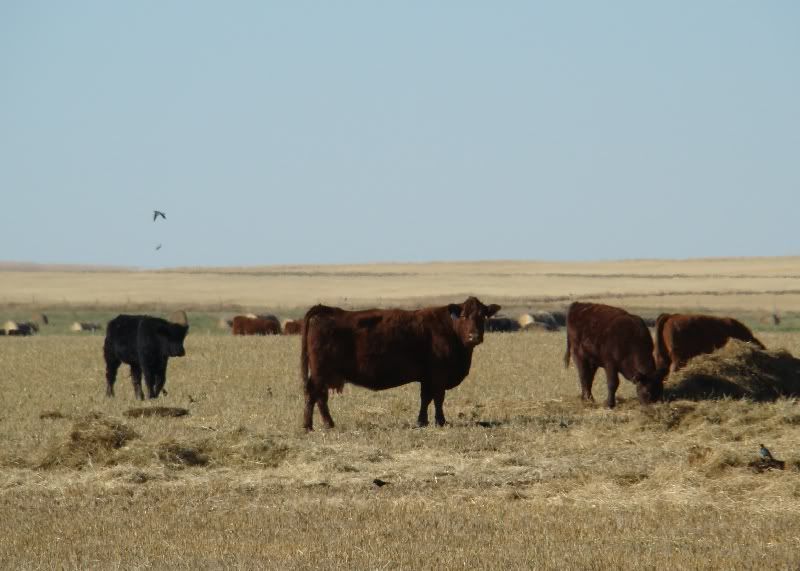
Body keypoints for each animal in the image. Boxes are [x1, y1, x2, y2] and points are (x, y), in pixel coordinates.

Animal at [300, 296, 500, 431]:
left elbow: (425, 398)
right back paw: (309, 426)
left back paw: (327, 424)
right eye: (464, 316)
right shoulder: (438, 376)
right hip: (320, 373)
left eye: (482, 316)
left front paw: (422, 421)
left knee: (320, 397)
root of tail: (326, 309)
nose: (474, 336)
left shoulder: (427, 377)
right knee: (313, 395)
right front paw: (441, 421)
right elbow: (438, 398)